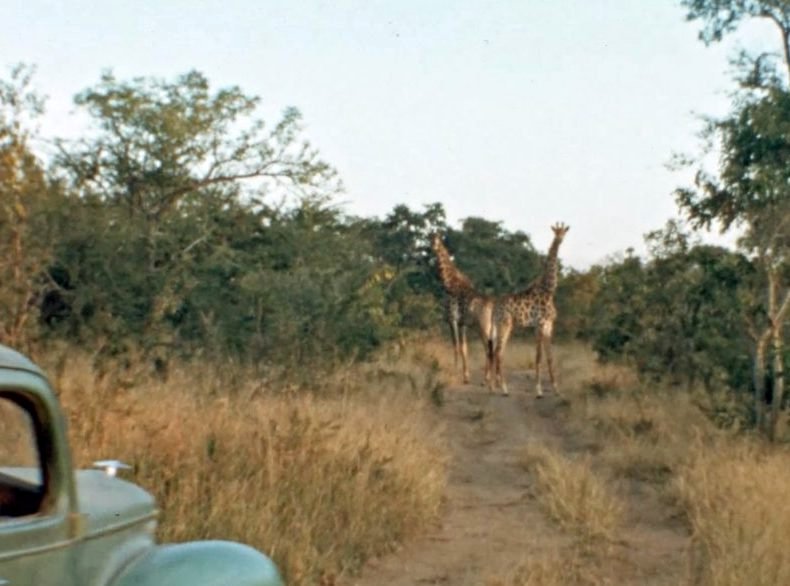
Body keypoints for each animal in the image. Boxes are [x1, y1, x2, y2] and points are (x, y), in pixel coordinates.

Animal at [430, 233, 494, 385]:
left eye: (438, 240)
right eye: (430, 238)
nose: (433, 247)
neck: (449, 284)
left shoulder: (452, 319)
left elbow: (456, 346)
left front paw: (454, 373)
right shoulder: (462, 323)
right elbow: (464, 348)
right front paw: (466, 377)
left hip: (483, 327)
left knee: (488, 348)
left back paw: (486, 379)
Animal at [488, 223, 569, 397]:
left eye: (564, 233)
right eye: (556, 233)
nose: (559, 240)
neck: (549, 290)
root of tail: (495, 308)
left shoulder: (548, 325)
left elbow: (550, 357)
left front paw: (556, 389)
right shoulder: (539, 324)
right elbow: (538, 356)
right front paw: (538, 391)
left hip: (500, 326)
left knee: (495, 352)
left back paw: (493, 387)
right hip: (505, 324)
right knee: (498, 352)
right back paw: (504, 389)